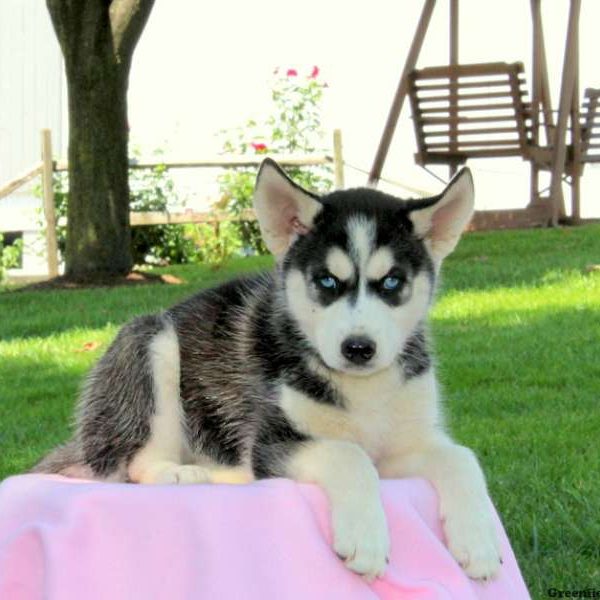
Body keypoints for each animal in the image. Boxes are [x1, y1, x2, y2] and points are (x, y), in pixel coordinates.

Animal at [34, 159, 502, 580]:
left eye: (391, 282)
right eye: (327, 281)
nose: (358, 349)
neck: (360, 390)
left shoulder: (408, 443)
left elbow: (463, 457)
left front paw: (479, 542)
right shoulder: (273, 442)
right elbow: (349, 454)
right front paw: (365, 539)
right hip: (152, 341)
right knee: (132, 465)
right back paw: (181, 472)